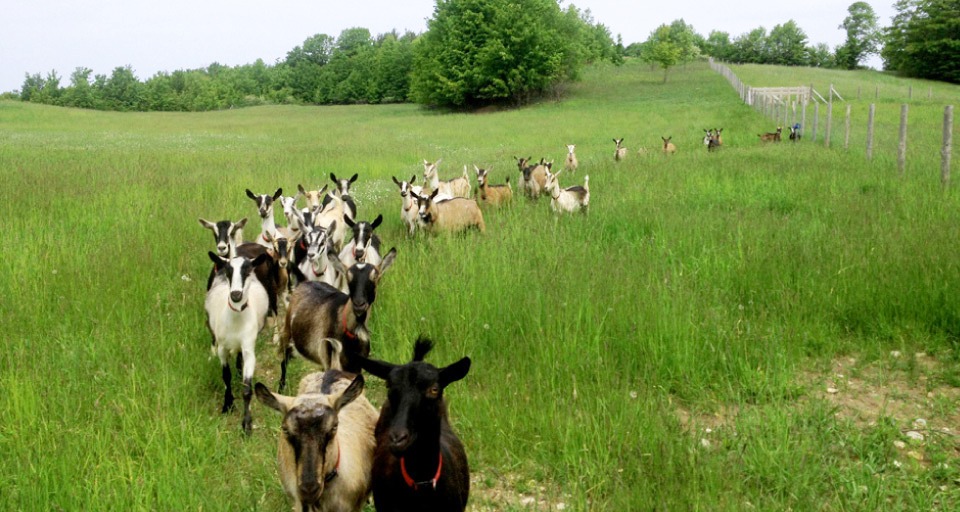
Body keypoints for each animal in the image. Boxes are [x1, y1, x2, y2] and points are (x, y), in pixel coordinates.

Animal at [205, 251, 272, 434]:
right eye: (229, 272)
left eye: (247, 271)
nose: (236, 295)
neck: (235, 321)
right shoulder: (222, 348)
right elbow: (225, 376)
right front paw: (227, 405)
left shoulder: (249, 348)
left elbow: (247, 389)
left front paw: (246, 425)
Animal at [278, 249, 398, 391]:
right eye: (348, 277)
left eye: (375, 277)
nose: (359, 304)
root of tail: (304, 281)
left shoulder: (356, 366)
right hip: (287, 333)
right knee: (283, 361)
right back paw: (281, 387)